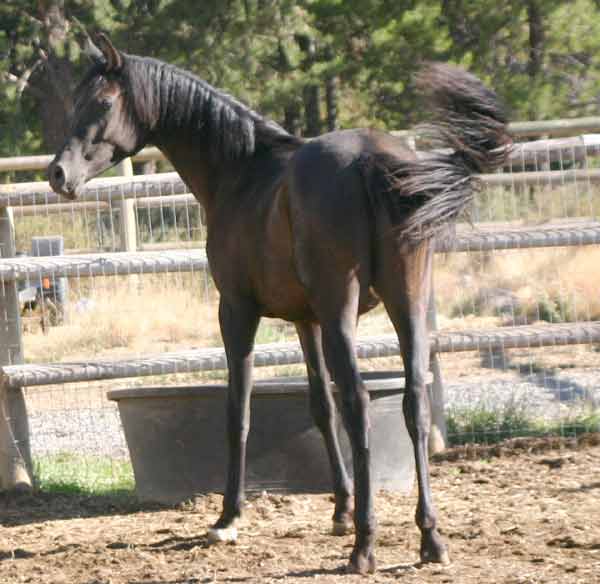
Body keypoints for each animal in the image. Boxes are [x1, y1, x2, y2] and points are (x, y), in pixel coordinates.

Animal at [47, 34, 508, 572]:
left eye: (102, 103)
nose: (57, 174)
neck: (241, 172)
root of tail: (372, 160)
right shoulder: (306, 321)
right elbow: (320, 407)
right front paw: (340, 511)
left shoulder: (237, 311)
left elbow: (239, 410)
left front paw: (228, 518)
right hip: (407, 304)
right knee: (413, 402)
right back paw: (430, 537)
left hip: (342, 311)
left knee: (359, 404)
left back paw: (365, 547)